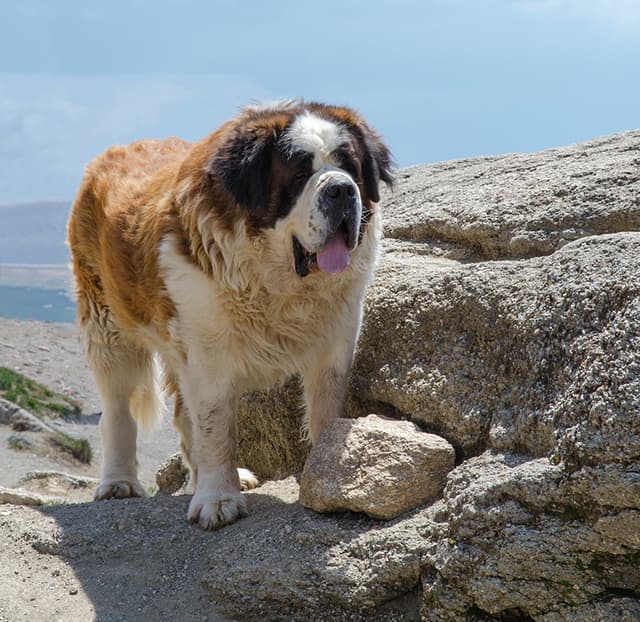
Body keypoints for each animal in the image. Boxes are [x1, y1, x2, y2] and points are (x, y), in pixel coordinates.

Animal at [67, 102, 392, 532]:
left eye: (350, 167)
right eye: (299, 173)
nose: (341, 189)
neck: (277, 282)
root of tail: (113, 152)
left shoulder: (336, 341)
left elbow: (326, 409)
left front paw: (325, 479)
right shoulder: (208, 352)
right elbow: (217, 427)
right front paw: (218, 499)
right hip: (108, 326)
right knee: (119, 408)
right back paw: (119, 483)